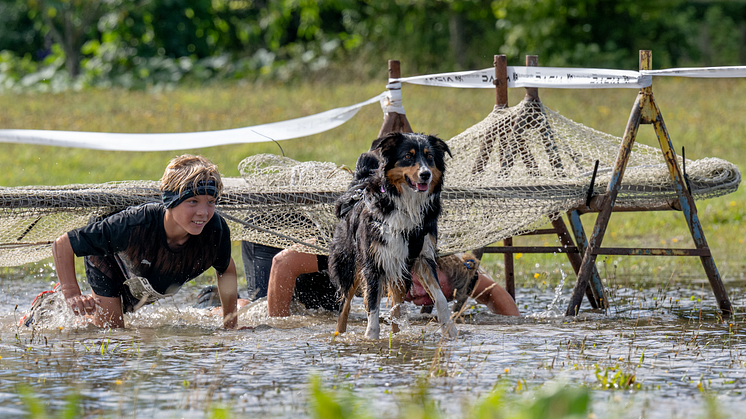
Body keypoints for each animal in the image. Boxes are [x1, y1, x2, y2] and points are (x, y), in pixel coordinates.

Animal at [330, 133, 456, 340]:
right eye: (407, 156)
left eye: (429, 157)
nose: (426, 174)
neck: (405, 204)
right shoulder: (373, 262)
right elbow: (372, 306)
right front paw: (371, 338)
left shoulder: (423, 257)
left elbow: (441, 298)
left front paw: (450, 329)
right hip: (349, 265)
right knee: (344, 307)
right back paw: (338, 336)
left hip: (400, 271)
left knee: (395, 309)